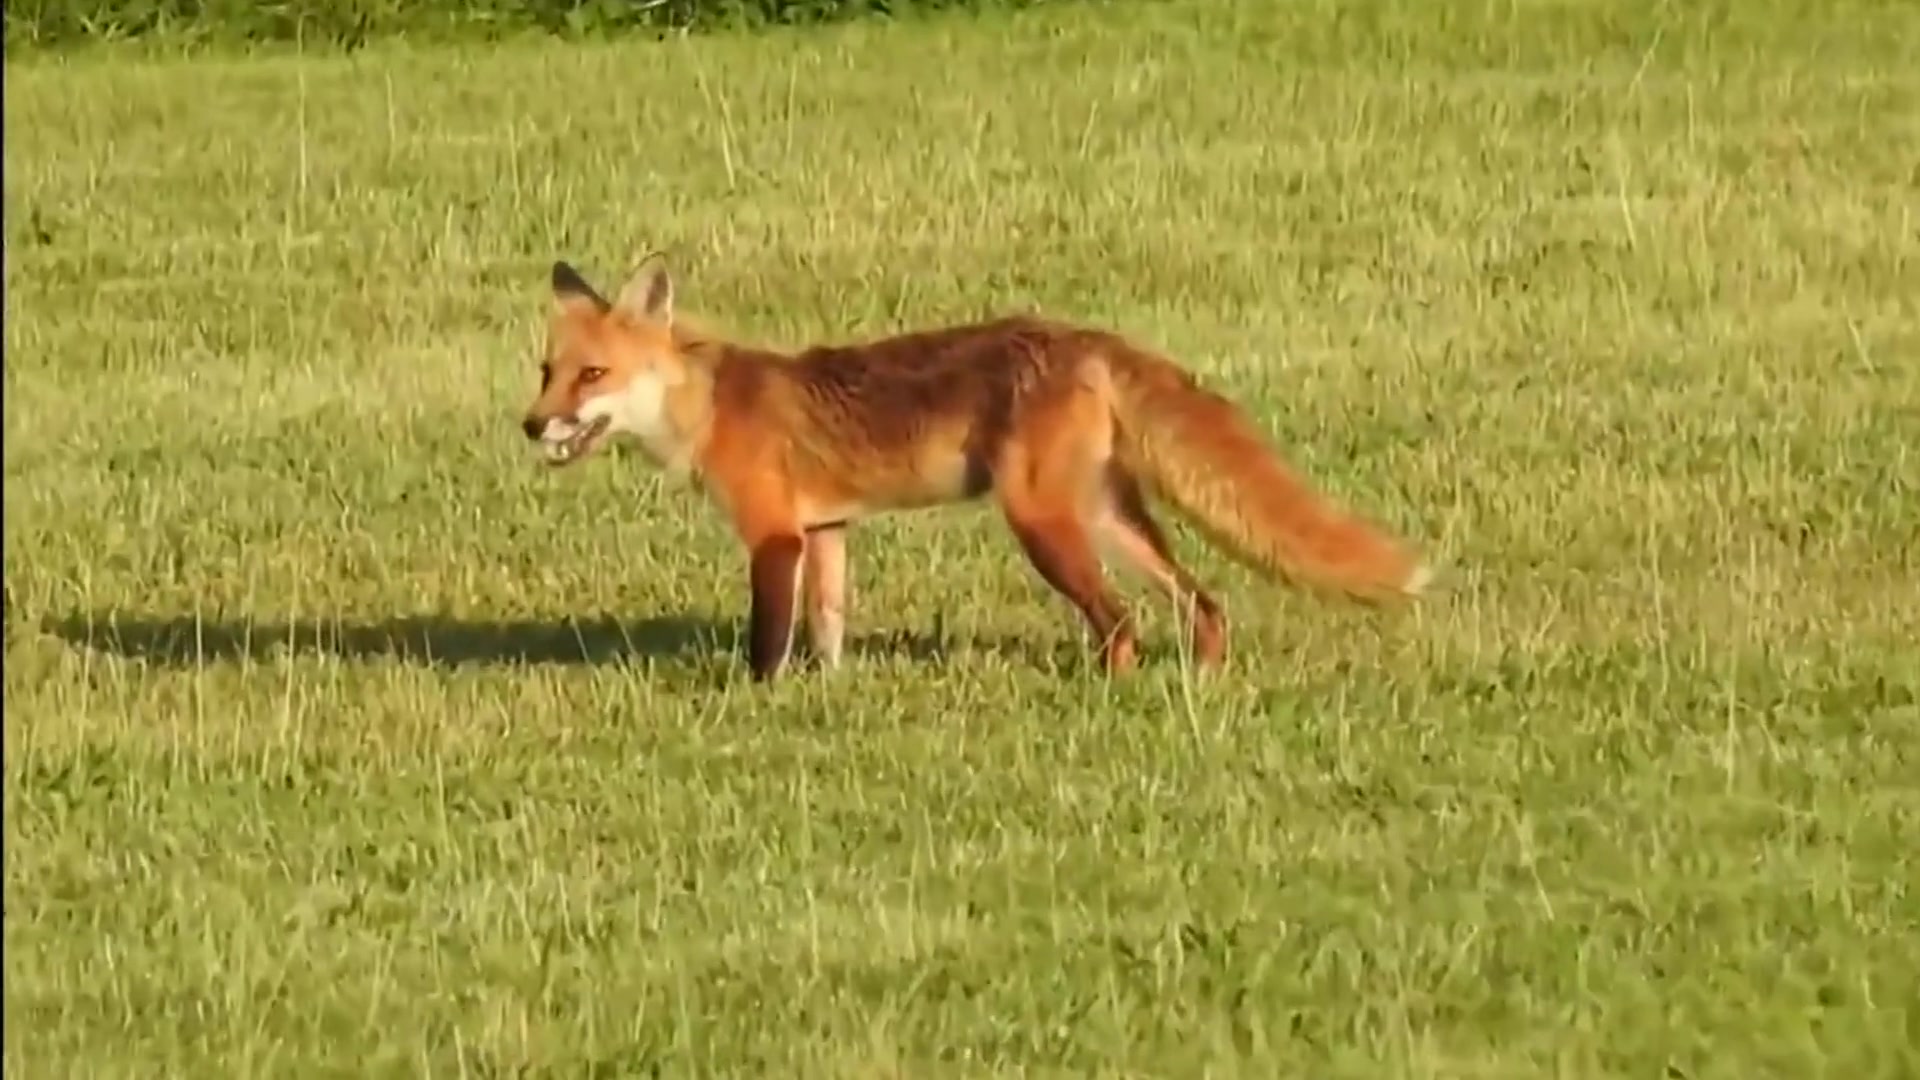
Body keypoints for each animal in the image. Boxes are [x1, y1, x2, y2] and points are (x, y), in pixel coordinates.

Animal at [518, 253, 1436, 680]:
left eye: (592, 376)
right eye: (547, 370)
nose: (530, 425)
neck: (708, 406)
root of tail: (1083, 337)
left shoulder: (775, 536)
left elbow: (767, 641)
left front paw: (756, 701)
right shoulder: (829, 530)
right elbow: (829, 630)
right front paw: (827, 694)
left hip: (1043, 524)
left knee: (1121, 624)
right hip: (1108, 516)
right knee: (1202, 603)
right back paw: (1202, 679)